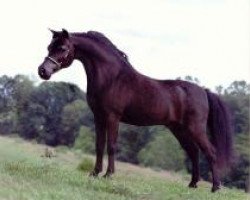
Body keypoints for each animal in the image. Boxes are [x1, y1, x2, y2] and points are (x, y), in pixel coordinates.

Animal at [38, 28, 233, 192]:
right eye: (49, 47)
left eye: (63, 48)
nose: (42, 71)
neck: (112, 78)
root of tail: (204, 91)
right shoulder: (98, 117)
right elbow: (99, 145)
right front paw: (94, 173)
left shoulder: (112, 117)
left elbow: (111, 146)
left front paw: (108, 175)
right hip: (179, 129)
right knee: (193, 152)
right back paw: (192, 184)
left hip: (195, 129)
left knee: (210, 152)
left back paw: (215, 187)